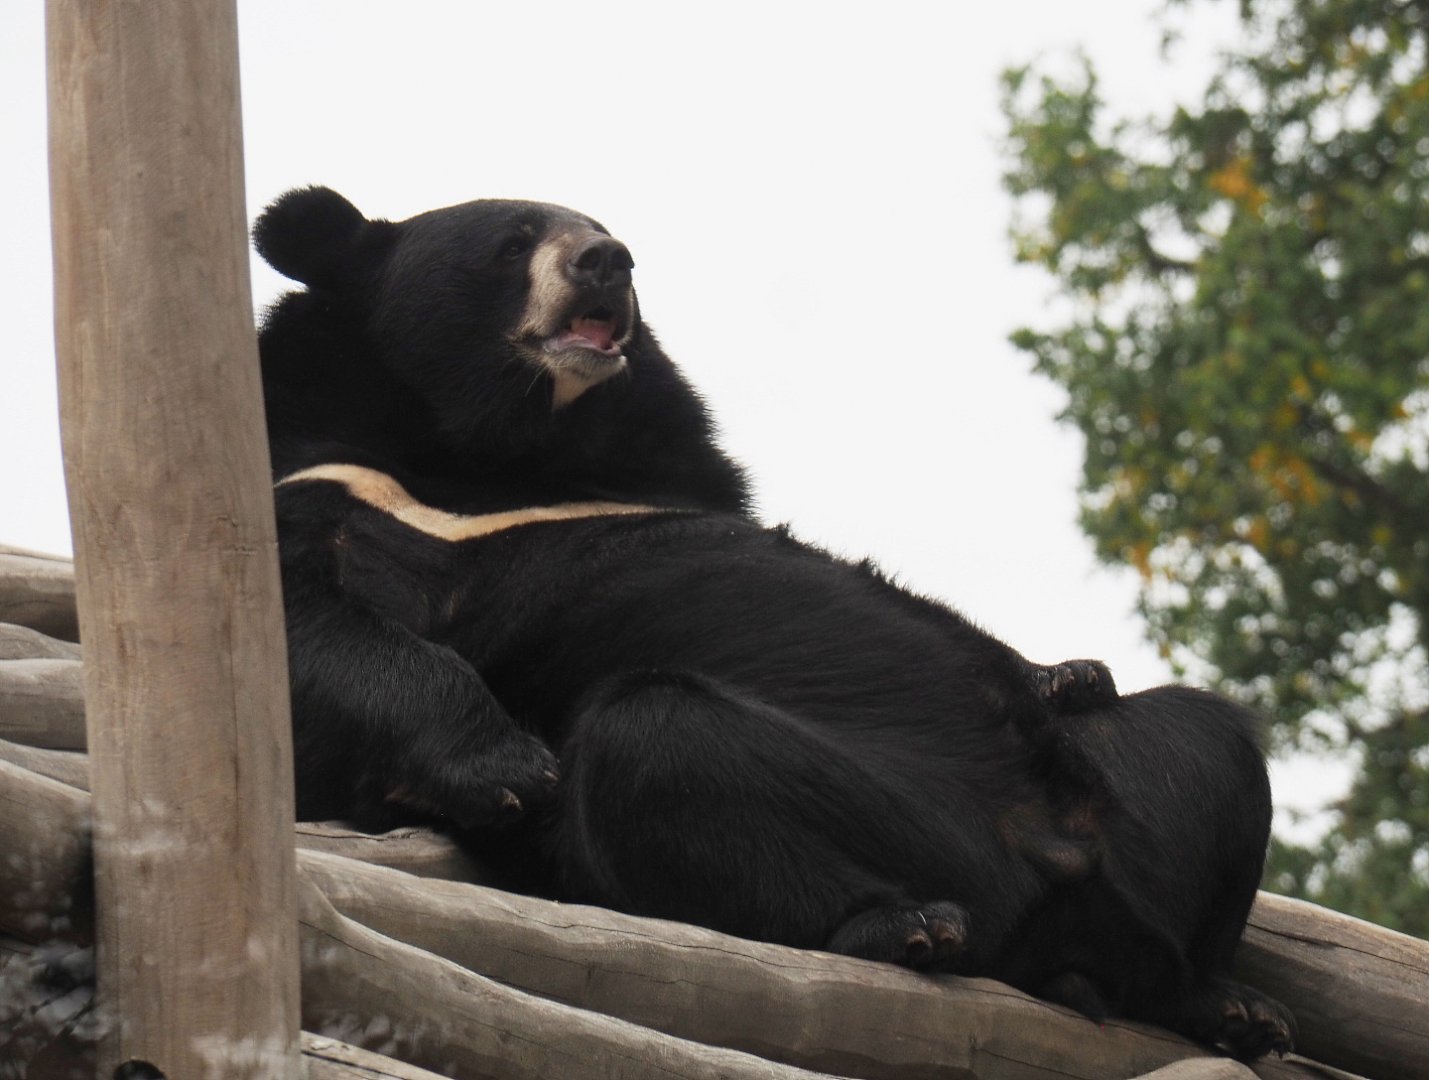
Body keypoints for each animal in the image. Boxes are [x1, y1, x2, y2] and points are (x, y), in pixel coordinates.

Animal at [253, 186, 1295, 1059]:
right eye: (514, 241)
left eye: (597, 224)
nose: (607, 261)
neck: (509, 444)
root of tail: (1055, 865)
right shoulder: (335, 488)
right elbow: (306, 635)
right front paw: (505, 767)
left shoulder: (672, 478)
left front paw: (1070, 672)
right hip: (881, 830)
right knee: (657, 740)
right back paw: (905, 925)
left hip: (1132, 801)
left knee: (1204, 740)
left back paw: (1227, 1003)